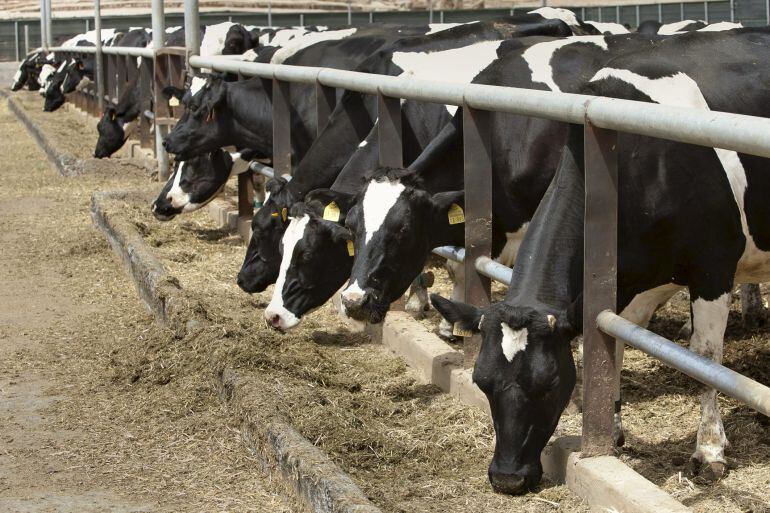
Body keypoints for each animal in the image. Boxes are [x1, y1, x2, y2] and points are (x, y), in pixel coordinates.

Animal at [428, 28, 768, 492]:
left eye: (550, 383)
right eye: (482, 381)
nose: (507, 477)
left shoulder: (713, 265)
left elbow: (705, 357)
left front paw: (710, 450)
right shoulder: (622, 279)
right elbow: (611, 343)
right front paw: (616, 428)